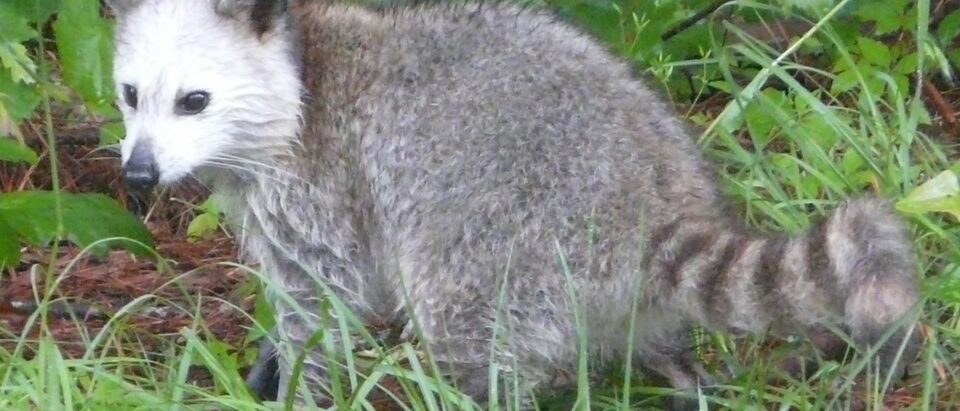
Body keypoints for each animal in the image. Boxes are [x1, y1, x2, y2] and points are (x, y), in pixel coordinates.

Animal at [107, 0, 921, 407]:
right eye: (129, 94)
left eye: (194, 101)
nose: (139, 173)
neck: (299, 63)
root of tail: (654, 191)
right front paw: (270, 363)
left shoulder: (320, 176)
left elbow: (325, 302)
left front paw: (298, 384)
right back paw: (684, 379)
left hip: (514, 231)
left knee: (469, 337)